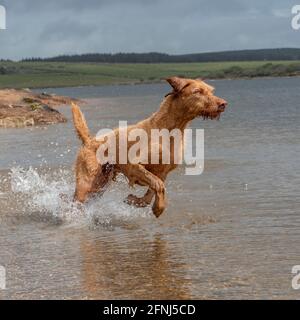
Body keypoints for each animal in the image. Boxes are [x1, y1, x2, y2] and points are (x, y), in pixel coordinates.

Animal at [71, 77, 229, 218]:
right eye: (198, 91)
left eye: (211, 91)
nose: (223, 104)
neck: (169, 130)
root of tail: (89, 140)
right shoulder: (133, 166)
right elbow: (158, 185)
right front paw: (158, 208)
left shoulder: (163, 172)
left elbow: (152, 191)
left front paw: (136, 201)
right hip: (87, 183)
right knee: (76, 201)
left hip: (100, 184)